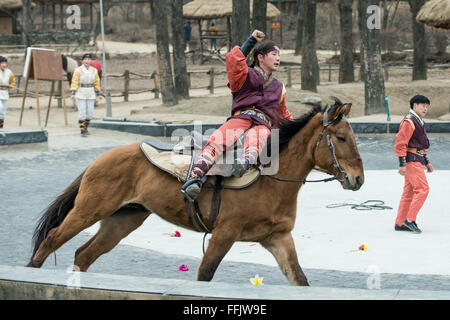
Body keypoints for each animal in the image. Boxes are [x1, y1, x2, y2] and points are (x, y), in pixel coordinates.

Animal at [24, 99, 364, 284]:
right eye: (341, 137)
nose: (358, 178)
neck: (269, 179)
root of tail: (100, 159)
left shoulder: (277, 238)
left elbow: (299, 278)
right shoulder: (224, 235)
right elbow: (205, 274)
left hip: (122, 220)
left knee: (83, 254)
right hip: (88, 211)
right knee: (52, 239)